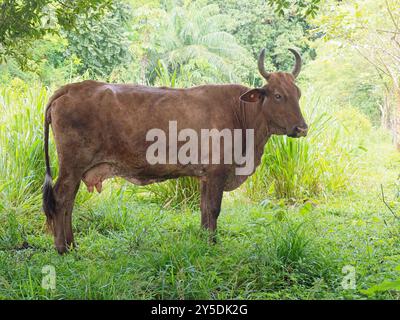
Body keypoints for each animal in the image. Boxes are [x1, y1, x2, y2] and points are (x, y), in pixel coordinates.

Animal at [43, 48, 306, 252]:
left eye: (298, 94)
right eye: (278, 95)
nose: (302, 128)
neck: (241, 112)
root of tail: (71, 88)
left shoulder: (205, 176)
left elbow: (204, 211)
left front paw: (204, 240)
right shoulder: (217, 172)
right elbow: (214, 209)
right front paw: (212, 244)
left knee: (68, 201)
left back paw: (72, 244)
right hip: (72, 166)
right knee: (61, 198)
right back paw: (63, 248)